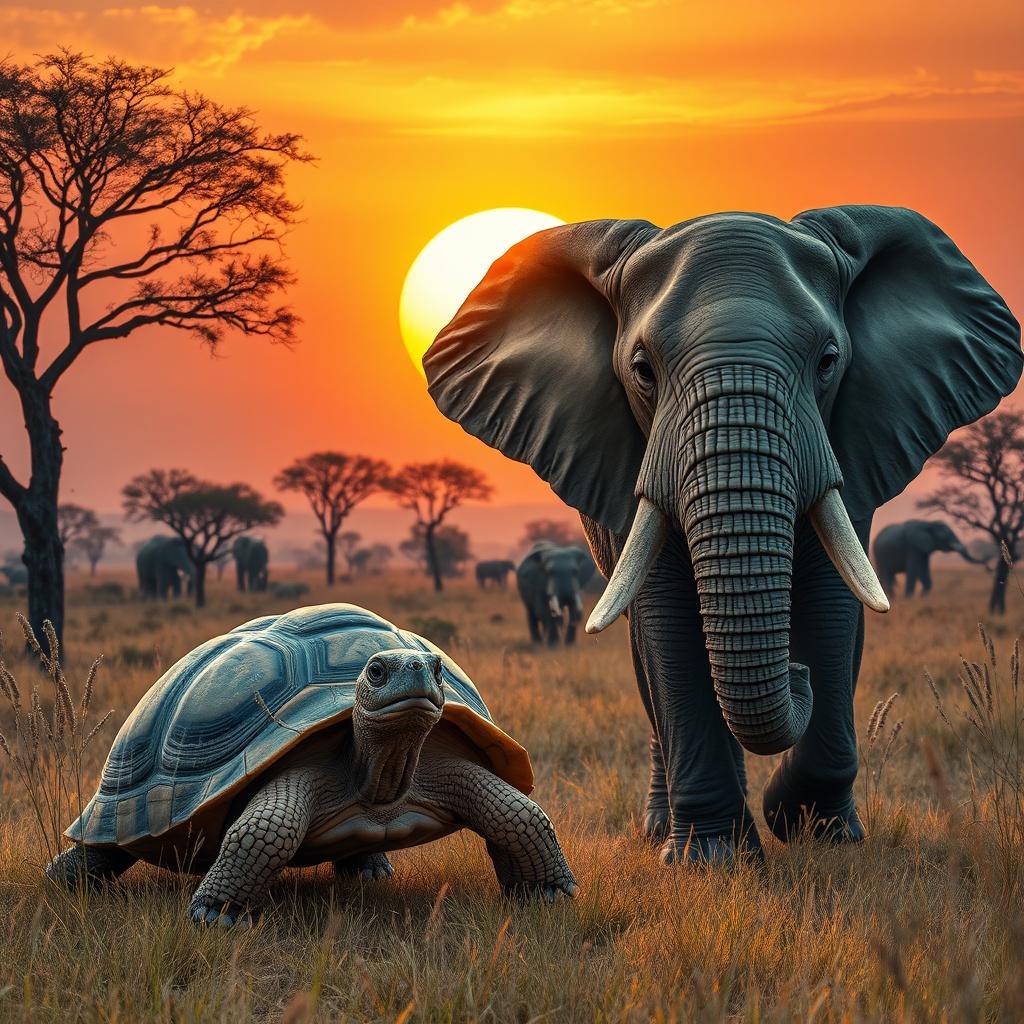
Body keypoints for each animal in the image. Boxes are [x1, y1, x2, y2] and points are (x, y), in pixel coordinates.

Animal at [424, 205, 1021, 865]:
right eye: (642, 371)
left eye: (828, 361)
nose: (796, 674)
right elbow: (669, 627)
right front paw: (709, 861)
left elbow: (834, 611)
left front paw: (819, 831)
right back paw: (667, 831)